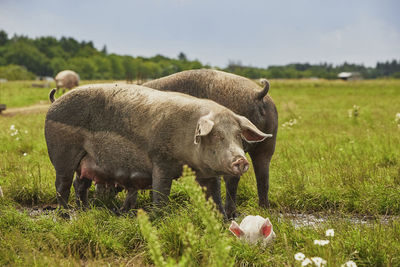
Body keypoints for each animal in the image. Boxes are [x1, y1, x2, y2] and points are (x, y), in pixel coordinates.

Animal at [46, 85, 272, 213]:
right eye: (217, 135)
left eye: (238, 135)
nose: (241, 160)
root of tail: (55, 103)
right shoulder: (160, 160)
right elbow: (161, 193)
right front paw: (159, 216)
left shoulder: (207, 174)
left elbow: (214, 196)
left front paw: (220, 219)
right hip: (62, 155)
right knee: (62, 185)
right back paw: (66, 213)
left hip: (85, 160)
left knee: (80, 184)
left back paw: (84, 210)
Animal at [143, 70, 278, 219]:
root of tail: (257, 94)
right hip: (267, 144)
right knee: (263, 177)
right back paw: (263, 210)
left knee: (232, 179)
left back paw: (231, 214)